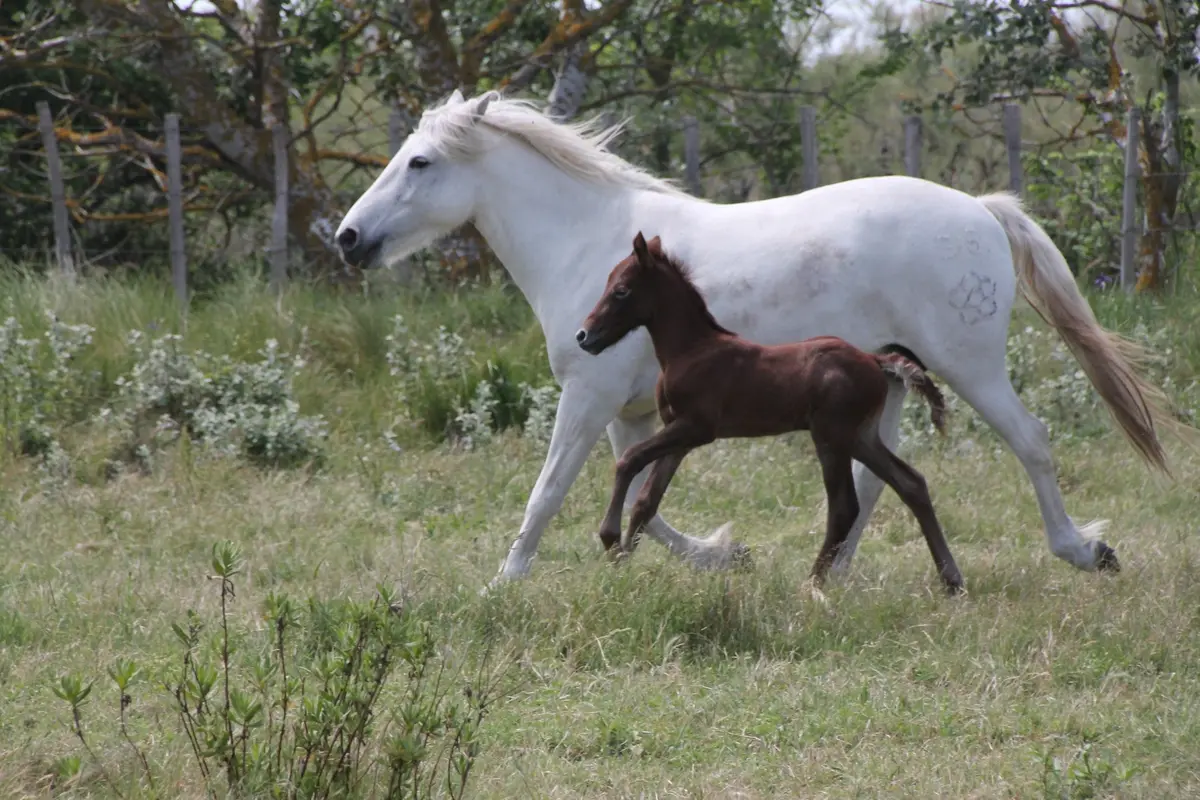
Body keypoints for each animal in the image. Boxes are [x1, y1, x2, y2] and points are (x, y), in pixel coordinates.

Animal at [577, 232, 966, 595]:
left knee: (844, 507)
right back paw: (951, 580)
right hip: (861, 436)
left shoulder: (696, 428)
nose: (584, 336)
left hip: (831, 435)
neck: (691, 350)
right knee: (910, 483)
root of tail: (874, 359)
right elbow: (647, 499)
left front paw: (610, 541)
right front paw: (624, 563)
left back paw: (811, 584)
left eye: (621, 291)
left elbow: (628, 459)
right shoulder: (680, 436)